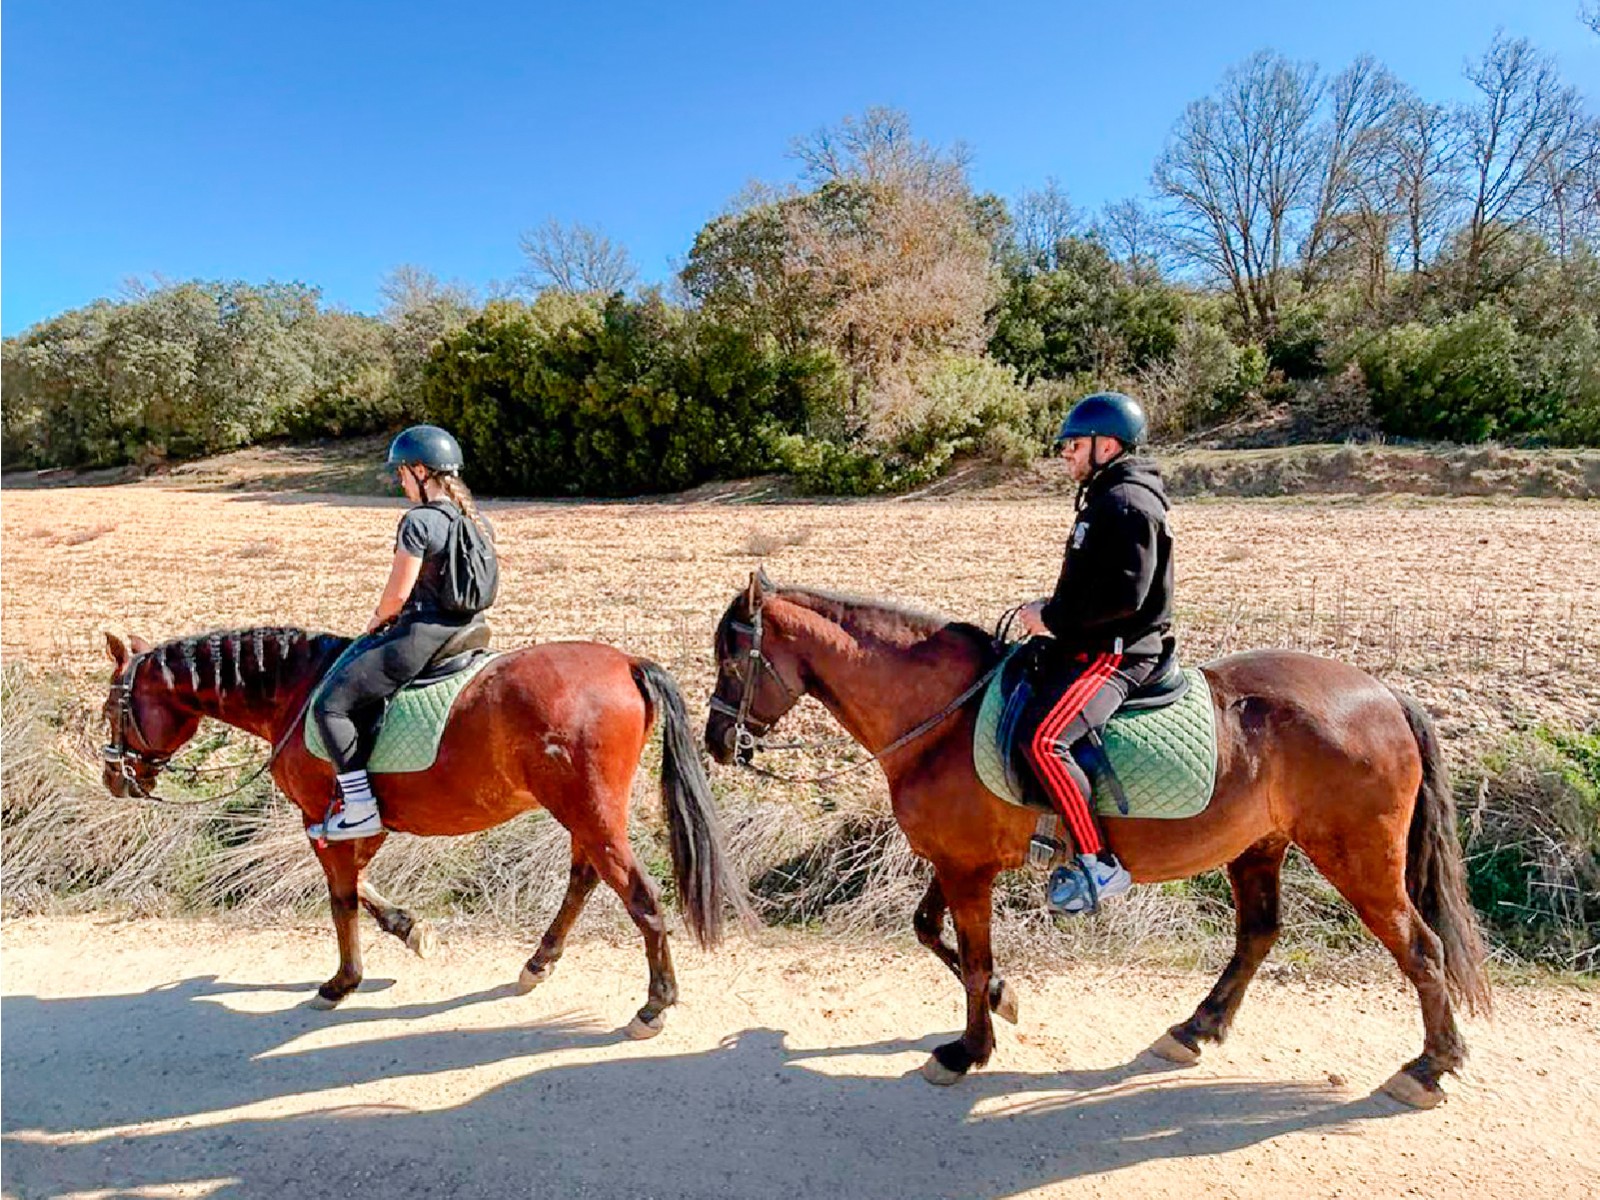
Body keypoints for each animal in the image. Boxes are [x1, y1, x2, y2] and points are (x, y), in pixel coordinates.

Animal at [100, 626, 744, 1037]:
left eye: (112, 710)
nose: (113, 778)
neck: (295, 692)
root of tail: (627, 663)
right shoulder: (356, 825)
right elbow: (359, 887)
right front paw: (409, 929)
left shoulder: (320, 819)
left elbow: (340, 898)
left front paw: (342, 981)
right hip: (585, 814)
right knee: (585, 879)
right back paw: (538, 963)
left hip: (589, 811)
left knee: (642, 897)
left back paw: (654, 1005)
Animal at [703, 573, 1490, 1108]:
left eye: (732, 662)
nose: (716, 743)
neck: (943, 715)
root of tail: (1384, 694)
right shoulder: (959, 861)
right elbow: (930, 931)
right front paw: (1004, 1004)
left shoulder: (966, 870)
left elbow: (974, 957)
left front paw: (968, 1048)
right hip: (1260, 847)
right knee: (1259, 935)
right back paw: (1195, 1029)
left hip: (1359, 859)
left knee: (1421, 949)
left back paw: (1430, 1066)